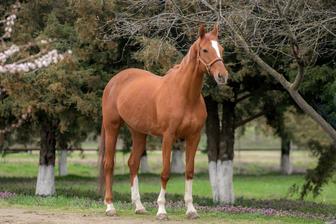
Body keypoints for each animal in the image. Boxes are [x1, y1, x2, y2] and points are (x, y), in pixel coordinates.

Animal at [98, 24, 228, 219]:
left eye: (221, 49)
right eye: (205, 50)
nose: (222, 76)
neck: (185, 95)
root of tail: (114, 81)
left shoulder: (194, 137)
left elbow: (189, 171)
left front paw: (191, 210)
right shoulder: (168, 136)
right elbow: (165, 172)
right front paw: (161, 210)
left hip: (138, 132)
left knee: (133, 164)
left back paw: (139, 206)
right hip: (111, 126)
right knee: (109, 164)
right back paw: (110, 206)